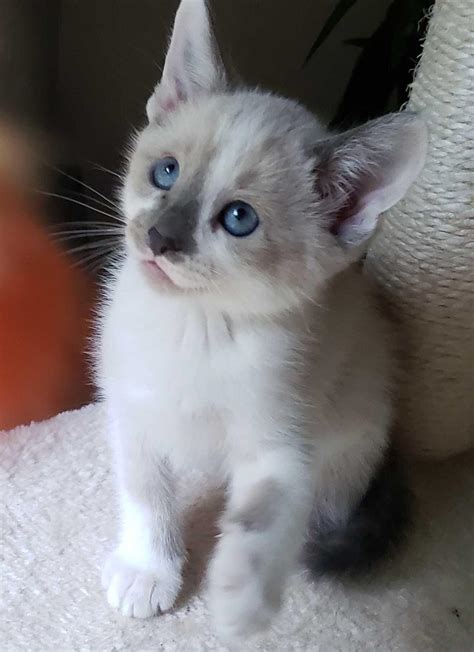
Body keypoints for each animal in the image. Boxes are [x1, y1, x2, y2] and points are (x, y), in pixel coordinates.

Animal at [95, 0, 426, 640]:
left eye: (239, 219)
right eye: (166, 172)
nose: (159, 238)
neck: (193, 327)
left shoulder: (277, 441)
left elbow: (257, 522)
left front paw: (236, 604)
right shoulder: (132, 406)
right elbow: (145, 492)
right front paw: (149, 571)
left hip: (349, 434)